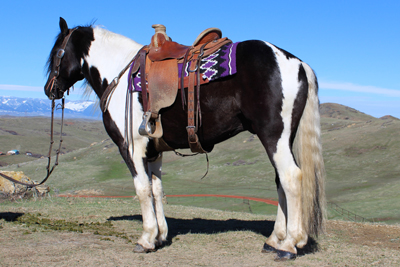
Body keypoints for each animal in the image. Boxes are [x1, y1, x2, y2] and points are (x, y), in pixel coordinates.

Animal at [44, 17, 324, 260]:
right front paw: (160, 236)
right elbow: (156, 189)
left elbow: (142, 189)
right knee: (280, 181)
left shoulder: (131, 148)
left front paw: (146, 239)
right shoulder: (153, 151)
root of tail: (297, 62)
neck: (121, 77)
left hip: (273, 137)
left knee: (290, 178)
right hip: (281, 140)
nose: (49, 90)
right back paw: (275, 239)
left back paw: (288, 245)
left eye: (57, 52)